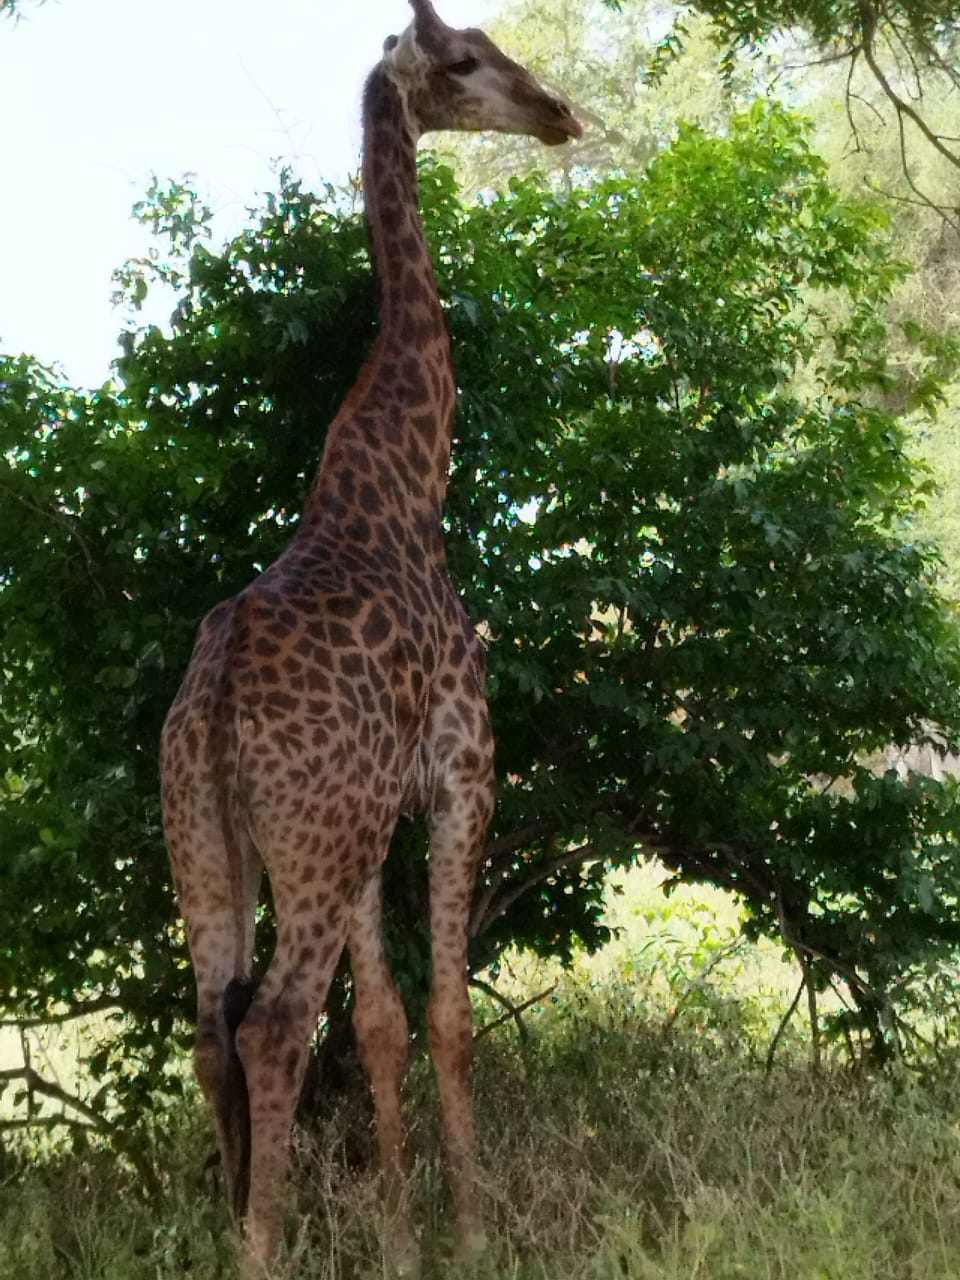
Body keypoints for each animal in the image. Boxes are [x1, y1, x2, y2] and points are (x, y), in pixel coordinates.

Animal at [160, 2, 581, 1275]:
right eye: (468, 60)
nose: (556, 111)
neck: (406, 476)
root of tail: (214, 706)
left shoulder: (368, 822)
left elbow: (386, 1021)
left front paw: (399, 1237)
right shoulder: (461, 774)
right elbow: (447, 1011)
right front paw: (475, 1226)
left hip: (216, 843)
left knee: (211, 1025)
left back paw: (238, 1223)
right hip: (307, 837)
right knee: (276, 1021)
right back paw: (261, 1246)